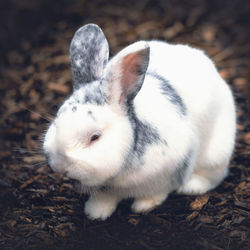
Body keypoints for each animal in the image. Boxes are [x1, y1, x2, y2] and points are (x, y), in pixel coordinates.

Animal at [43, 23, 236, 219]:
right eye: (56, 122)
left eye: (95, 137)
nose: (60, 166)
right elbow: (104, 198)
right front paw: (95, 212)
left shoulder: (168, 171)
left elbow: (156, 192)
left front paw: (144, 206)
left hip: (215, 155)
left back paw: (192, 186)